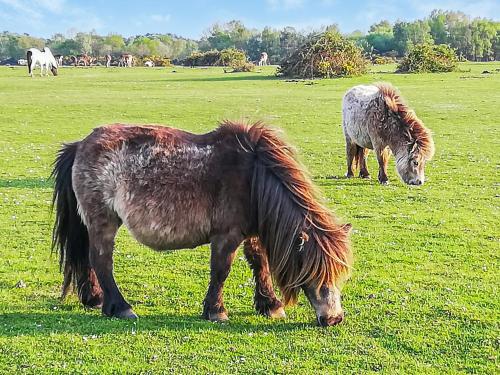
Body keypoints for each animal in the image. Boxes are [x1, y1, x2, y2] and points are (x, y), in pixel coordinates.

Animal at [51, 121, 352, 326]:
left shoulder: (251, 232)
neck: (252, 177)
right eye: (317, 273)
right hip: (103, 221)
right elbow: (221, 271)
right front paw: (216, 311)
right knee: (101, 260)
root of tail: (80, 145)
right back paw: (120, 306)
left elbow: (259, 262)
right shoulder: (226, 235)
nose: (333, 318)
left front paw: (270, 304)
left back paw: (95, 298)